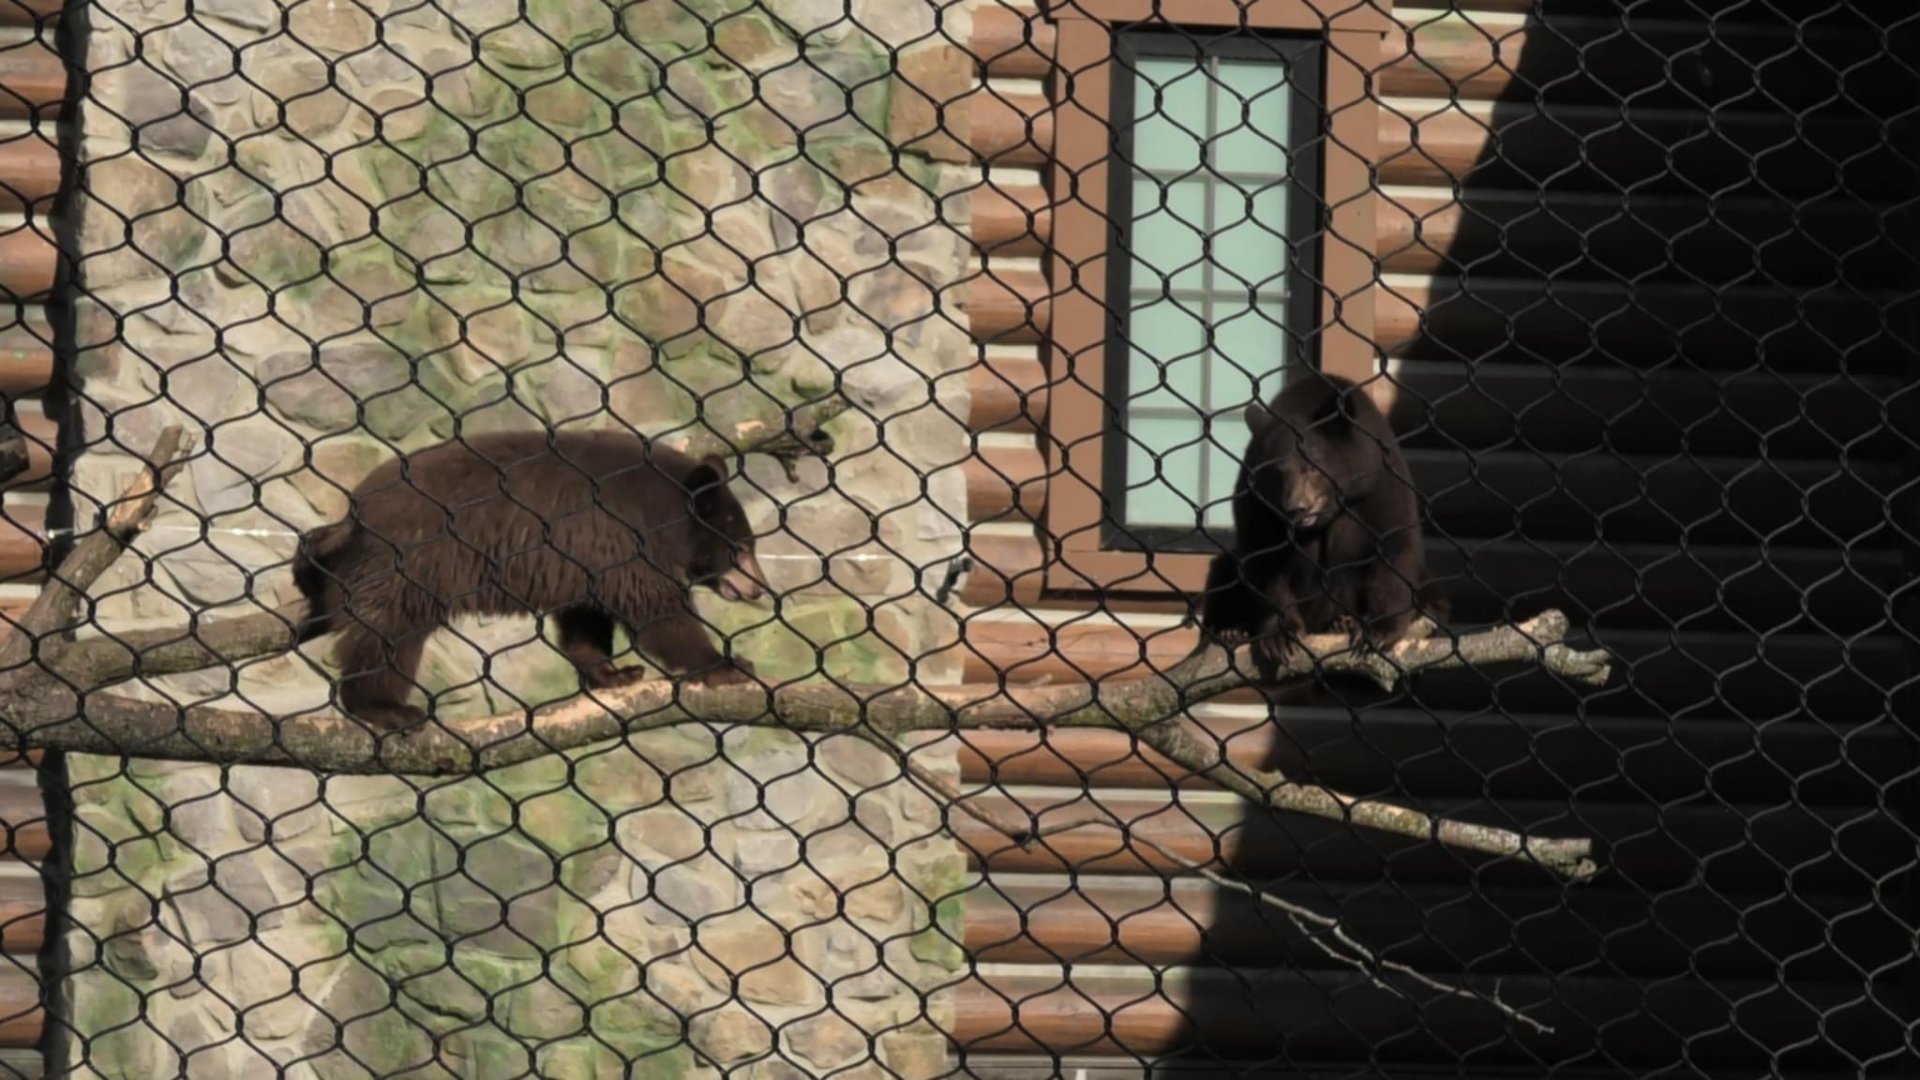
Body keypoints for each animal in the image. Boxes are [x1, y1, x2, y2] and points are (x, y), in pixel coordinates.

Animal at [292, 429, 767, 730]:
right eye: (741, 548)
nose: (759, 587)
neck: (665, 506)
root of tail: (354, 513)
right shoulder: (622, 538)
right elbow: (658, 611)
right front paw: (725, 663)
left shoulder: (584, 557)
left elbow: (585, 616)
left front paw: (613, 673)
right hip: (412, 564)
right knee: (389, 635)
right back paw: (384, 707)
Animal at [1197, 371, 1445, 675]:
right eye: (1277, 471)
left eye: (1312, 467)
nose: (1295, 508)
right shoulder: (1255, 498)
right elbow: (1261, 556)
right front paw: (1280, 636)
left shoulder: (1380, 479)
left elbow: (1395, 546)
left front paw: (1378, 631)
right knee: (1223, 570)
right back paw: (1230, 629)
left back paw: (1343, 622)